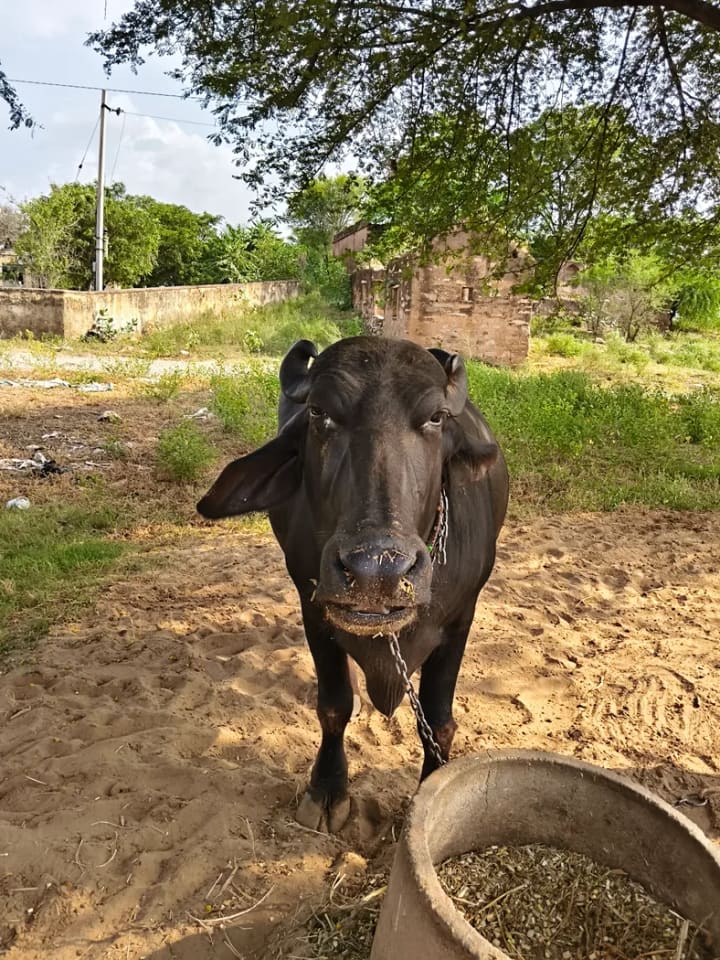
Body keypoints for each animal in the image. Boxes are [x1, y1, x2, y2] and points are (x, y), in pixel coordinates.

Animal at [198, 336, 508, 832]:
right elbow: (333, 705)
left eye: (436, 417)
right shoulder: (314, 612)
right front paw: (327, 790)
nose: (375, 571)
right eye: (319, 412)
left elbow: (438, 720)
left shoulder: (462, 619)